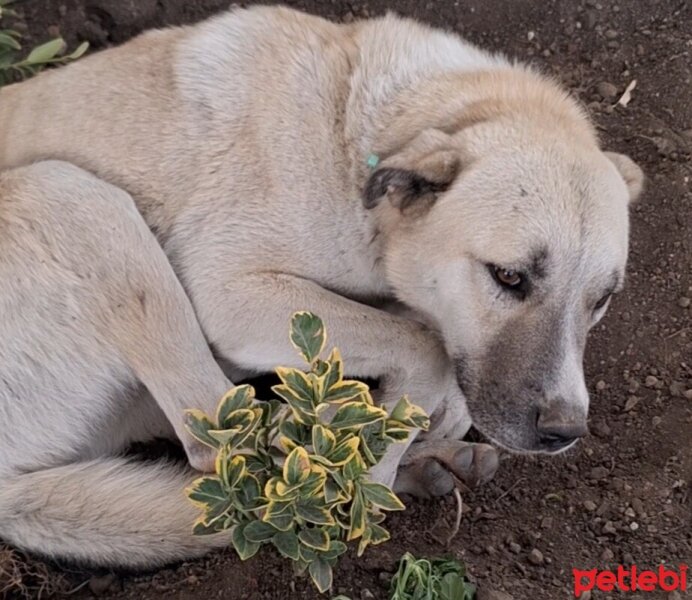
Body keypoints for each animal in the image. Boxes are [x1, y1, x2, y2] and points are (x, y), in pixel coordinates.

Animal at [0, 4, 644, 568]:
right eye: (509, 276)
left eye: (601, 300)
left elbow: (439, 349)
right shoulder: (230, 290)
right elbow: (425, 346)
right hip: (77, 195)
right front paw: (379, 463)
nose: (564, 433)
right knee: (224, 449)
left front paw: (423, 424)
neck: (358, 131)